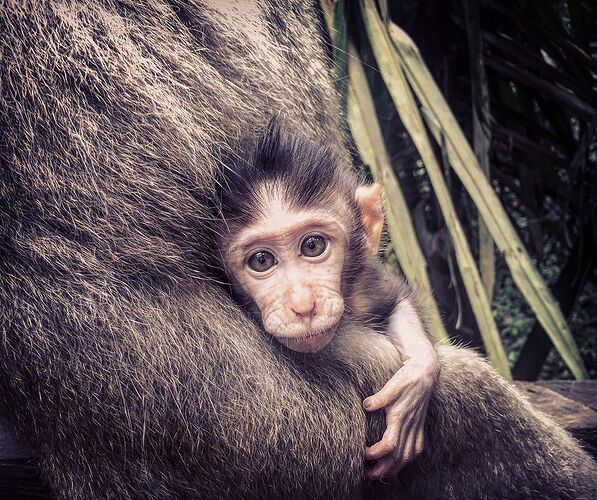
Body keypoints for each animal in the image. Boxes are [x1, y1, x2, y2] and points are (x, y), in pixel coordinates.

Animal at [217, 119, 440, 478]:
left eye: (312, 246)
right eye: (261, 261)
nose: (303, 305)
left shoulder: (363, 285)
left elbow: (395, 300)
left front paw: (415, 382)